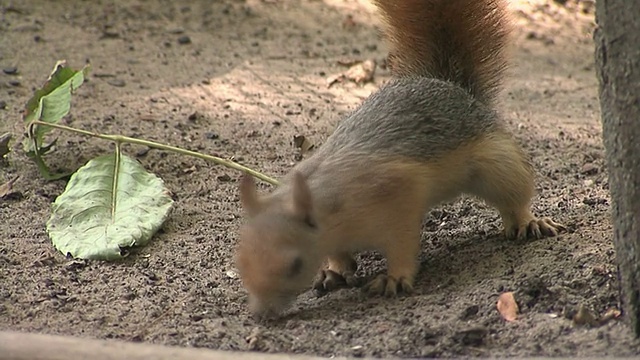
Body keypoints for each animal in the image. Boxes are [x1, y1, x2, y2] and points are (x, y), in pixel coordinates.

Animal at [235, 0, 564, 316]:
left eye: (295, 264)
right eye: (240, 261)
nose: (262, 314)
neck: (331, 204)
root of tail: (454, 89)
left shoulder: (397, 196)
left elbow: (402, 243)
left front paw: (394, 278)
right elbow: (339, 255)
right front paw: (334, 271)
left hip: (498, 163)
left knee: (514, 196)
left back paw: (528, 222)